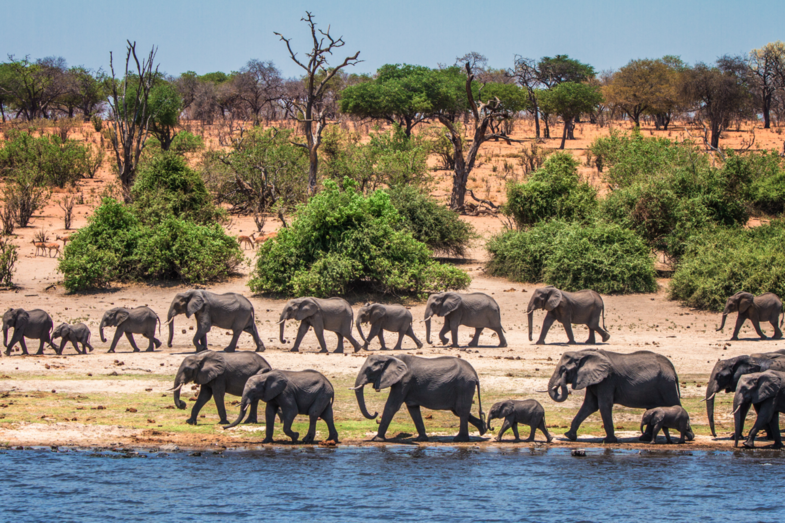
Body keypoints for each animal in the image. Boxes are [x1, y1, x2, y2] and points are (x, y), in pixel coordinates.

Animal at [544, 350, 680, 444]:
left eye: (564, 370)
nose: (556, 387)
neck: (583, 353)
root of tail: (672, 368)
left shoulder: (607, 379)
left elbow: (603, 405)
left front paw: (609, 441)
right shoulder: (595, 380)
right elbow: (590, 406)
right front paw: (569, 436)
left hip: (666, 384)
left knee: (674, 404)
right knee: (651, 409)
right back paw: (644, 439)